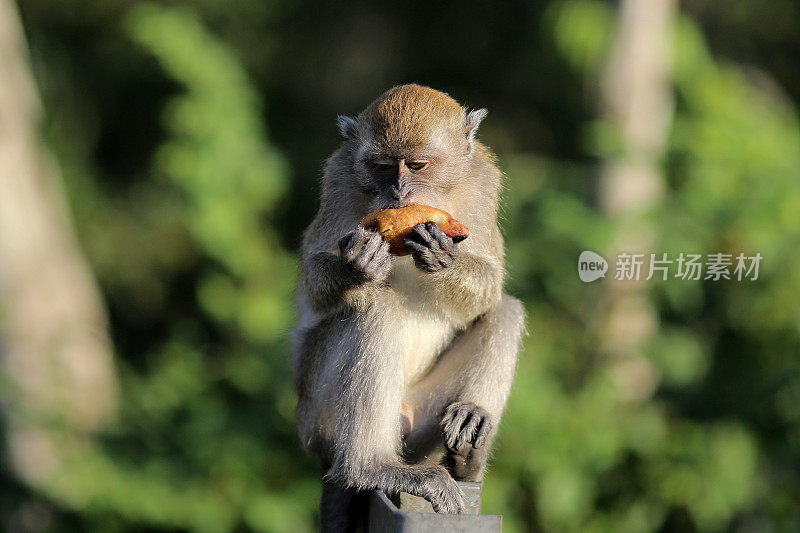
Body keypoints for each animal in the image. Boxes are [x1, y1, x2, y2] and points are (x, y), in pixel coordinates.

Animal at [292, 85, 524, 528]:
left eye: (416, 165)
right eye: (383, 167)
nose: (399, 191)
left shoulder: (483, 180)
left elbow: (489, 286)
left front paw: (442, 256)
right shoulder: (339, 178)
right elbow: (314, 283)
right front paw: (356, 265)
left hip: (424, 420)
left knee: (505, 309)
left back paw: (468, 453)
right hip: (319, 414)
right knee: (375, 307)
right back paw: (372, 467)